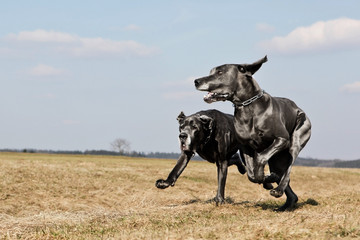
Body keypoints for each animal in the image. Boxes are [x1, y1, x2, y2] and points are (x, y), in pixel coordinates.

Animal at [194, 56, 312, 210]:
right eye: (211, 71)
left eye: (220, 72)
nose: (196, 81)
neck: (248, 107)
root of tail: (298, 108)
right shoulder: (245, 146)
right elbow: (251, 173)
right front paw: (266, 179)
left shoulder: (282, 139)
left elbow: (260, 159)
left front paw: (265, 177)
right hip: (276, 159)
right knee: (286, 182)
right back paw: (284, 201)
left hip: (296, 139)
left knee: (288, 169)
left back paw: (278, 189)